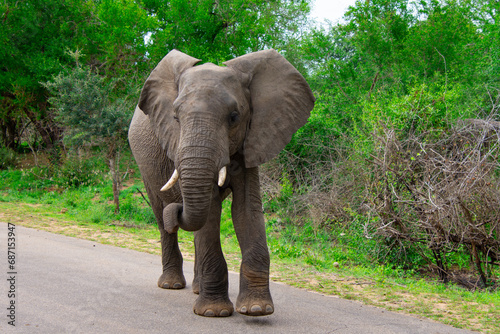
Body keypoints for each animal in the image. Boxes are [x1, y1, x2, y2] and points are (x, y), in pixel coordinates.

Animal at [129, 48, 314, 318]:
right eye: (175, 117)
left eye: (234, 117)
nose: (177, 209)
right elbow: (212, 211)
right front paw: (213, 312)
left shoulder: (252, 138)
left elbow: (246, 208)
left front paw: (257, 309)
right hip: (144, 164)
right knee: (161, 217)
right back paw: (171, 285)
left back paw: (196, 288)